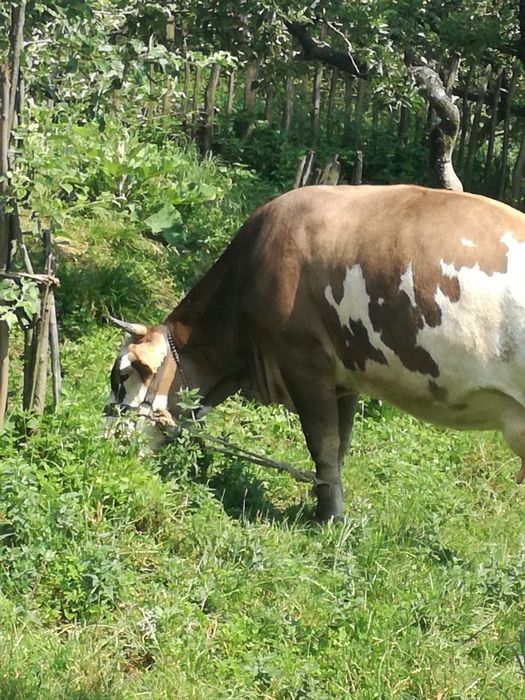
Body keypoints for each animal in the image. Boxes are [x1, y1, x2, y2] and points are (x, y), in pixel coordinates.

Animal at [106, 184, 525, 521]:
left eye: (123, 374)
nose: (106, 439)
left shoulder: (304, 360)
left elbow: (322, 444)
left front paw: (329, 519)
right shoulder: (346, 375)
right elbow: (340, 446)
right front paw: (327, 506)